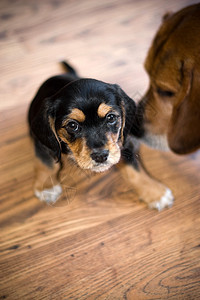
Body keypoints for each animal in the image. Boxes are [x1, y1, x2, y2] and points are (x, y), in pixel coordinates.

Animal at [28, 61, 173, 210]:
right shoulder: (42, 144)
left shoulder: (120, 144)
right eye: (72, 125)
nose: (100, 156)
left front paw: (155, 193)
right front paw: (46, 187)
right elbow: (46, 163)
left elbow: (134, 169)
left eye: (111, 117)